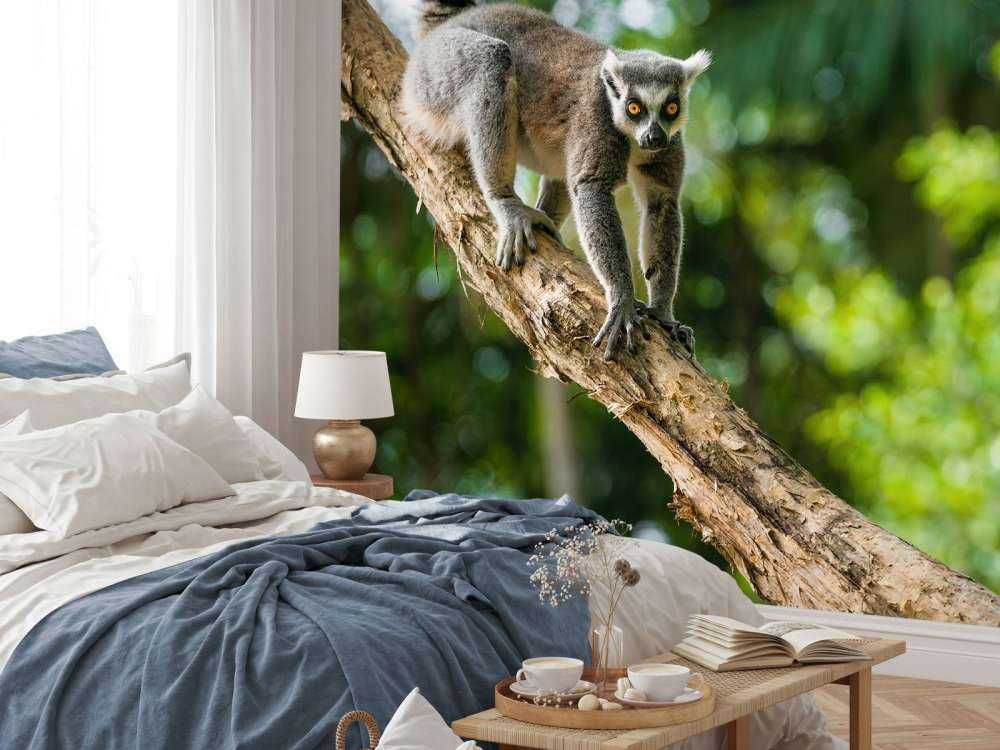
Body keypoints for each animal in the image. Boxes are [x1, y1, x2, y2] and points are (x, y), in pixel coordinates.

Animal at [401, 0, 710, 360]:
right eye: (633, 108)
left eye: (671, 108)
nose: (654, 136)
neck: (631, 139)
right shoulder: (595, 117)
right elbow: (591, 188)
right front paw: (621, 299)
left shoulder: (670, 144)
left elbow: (662, 202)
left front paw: (662, 312)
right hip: (434, 74)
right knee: (491, 60)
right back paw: (504, 200)